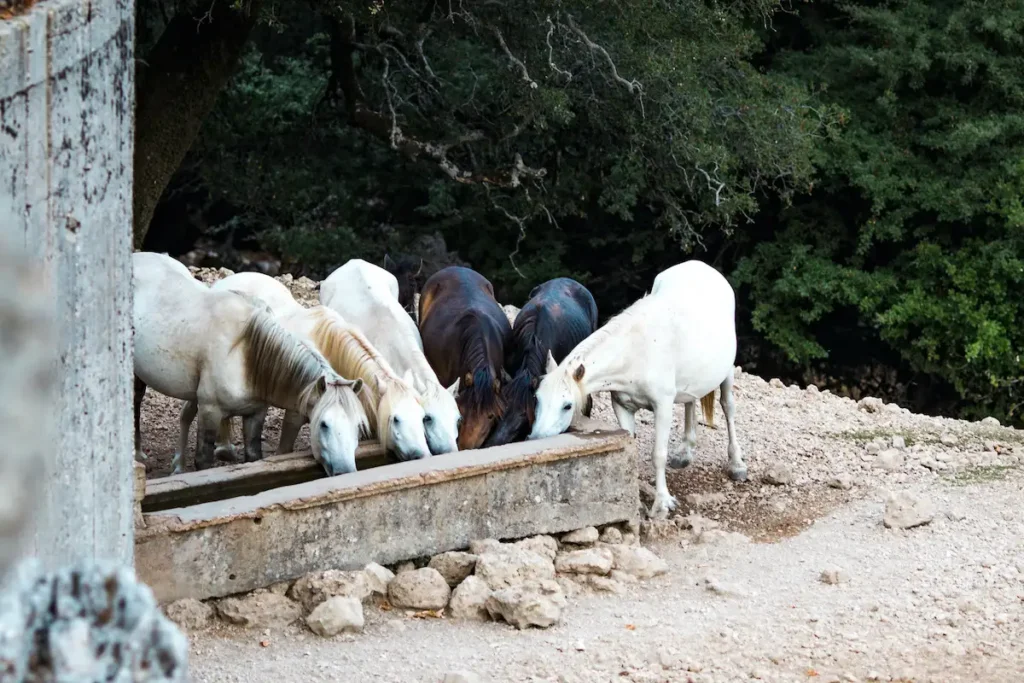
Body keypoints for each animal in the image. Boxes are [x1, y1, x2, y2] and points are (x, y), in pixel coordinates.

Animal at [132, 252, 368, 477]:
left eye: (358, 425)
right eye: (324, 424)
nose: (345, 471)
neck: (245, 354)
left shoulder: (255, 414)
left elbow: (254, 457)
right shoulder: (209, 410)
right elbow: (203, 461)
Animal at [528, 260, 746, 518]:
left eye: (567, 405)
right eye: (537, 398)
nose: (537, 438)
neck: (636, 351)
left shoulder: (662, 407)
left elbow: (658, 454)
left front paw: (662, 504)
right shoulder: (622, 406)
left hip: (727, 371)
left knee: (728, 407)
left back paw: (737, 465)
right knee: (690, 401)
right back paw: (684, 453)